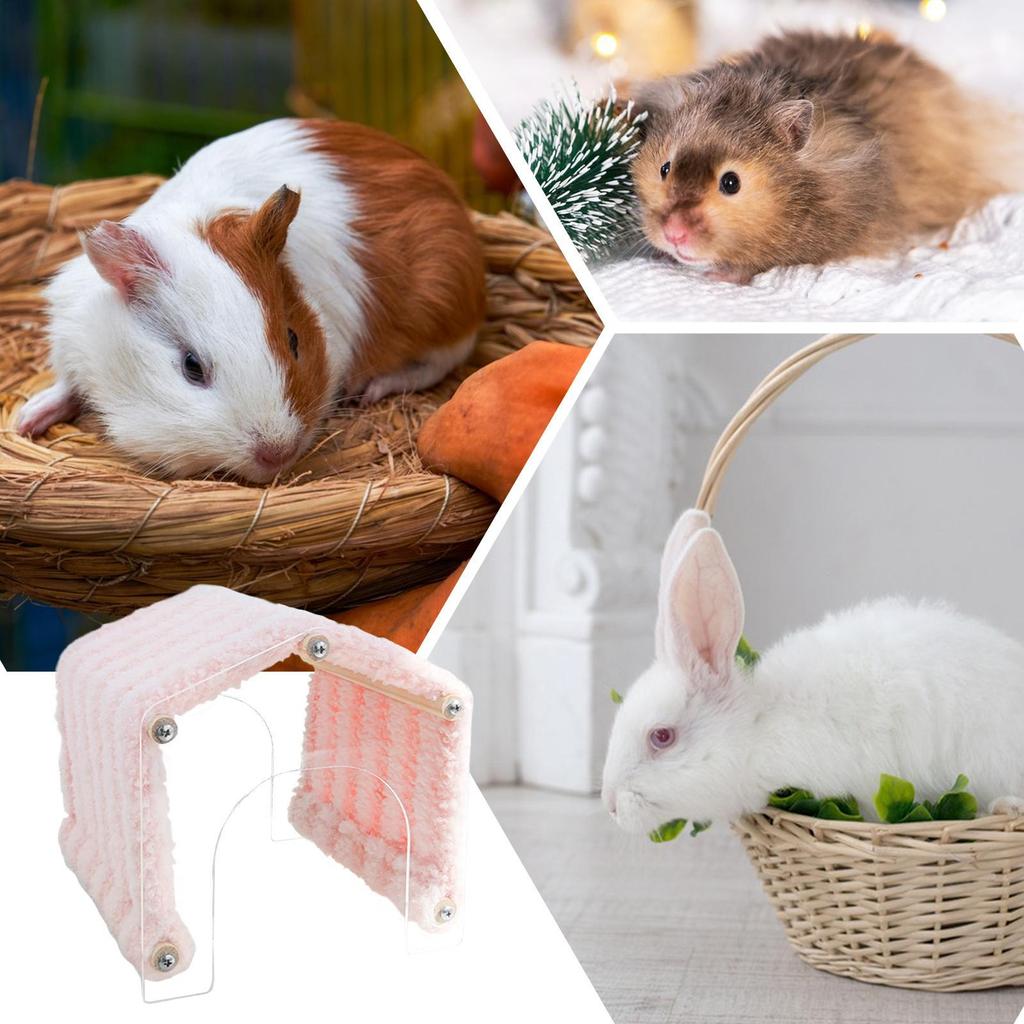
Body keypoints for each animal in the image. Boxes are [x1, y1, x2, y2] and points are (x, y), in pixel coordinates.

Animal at [17, 119, 486, 483]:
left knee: (437, 364)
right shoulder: (70, 338)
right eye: (191, 366)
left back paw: (370, 390)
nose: (277, 451)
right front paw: (26, 422)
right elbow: (65, 384)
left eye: (294, 340)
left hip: (440, 312)